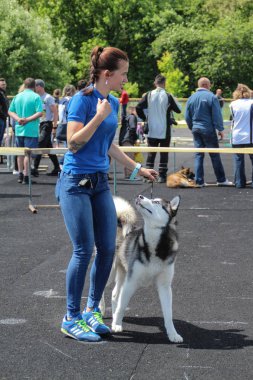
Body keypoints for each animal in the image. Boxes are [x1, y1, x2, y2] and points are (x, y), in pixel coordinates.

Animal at [110, 194, 182, 342]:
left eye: (156, 202)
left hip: (123, 273)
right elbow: (122, 306)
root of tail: (120, 223)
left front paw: (173, 334)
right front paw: (117, 325)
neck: (154, 245)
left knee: (114, 294)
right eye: (153, 199)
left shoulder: (165, 286)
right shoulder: (131, 282)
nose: (140, 196)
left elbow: (168, 313)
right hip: (109, 271)